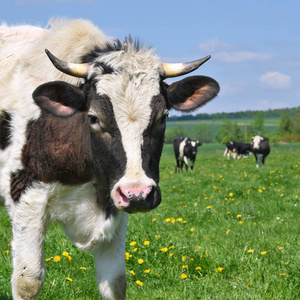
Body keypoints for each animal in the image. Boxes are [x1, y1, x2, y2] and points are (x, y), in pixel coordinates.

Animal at [0, 19, 220, 300]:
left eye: (163, 116)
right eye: (94, 118)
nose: (138, 194)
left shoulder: (115, 200)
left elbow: (115, 282)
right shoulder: (26, 194)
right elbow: (28, 281)